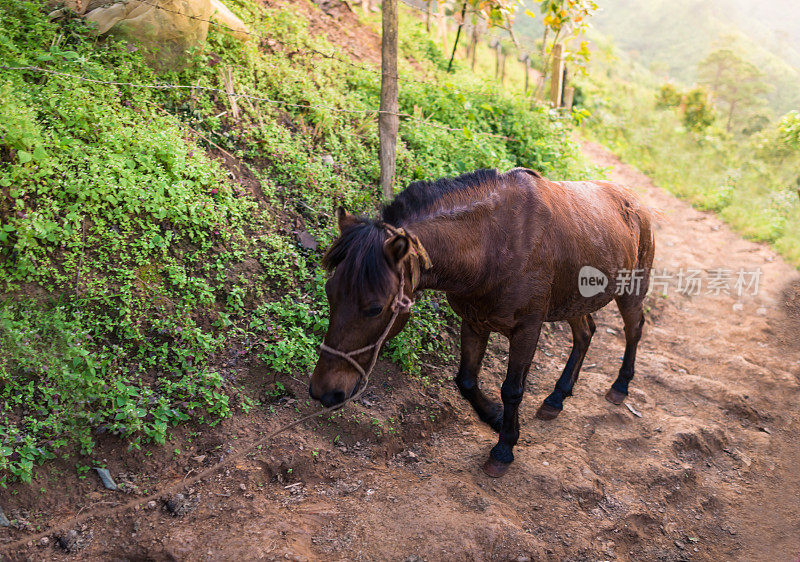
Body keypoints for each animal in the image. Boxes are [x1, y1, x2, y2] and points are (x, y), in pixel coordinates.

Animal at [310, 168, 652, 474]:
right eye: (329, 291)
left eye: (375, 308)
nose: (322, 392)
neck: (494, 245)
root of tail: (635, 201)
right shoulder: (474, 323)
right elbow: (466, 381)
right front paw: (497, 419)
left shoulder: (527, 329)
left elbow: (512, 389)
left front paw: (504, 449)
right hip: (574, 301)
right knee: (585, 333)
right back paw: (556, 398)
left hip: (631, 290)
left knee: (633, 330)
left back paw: (620, 386)